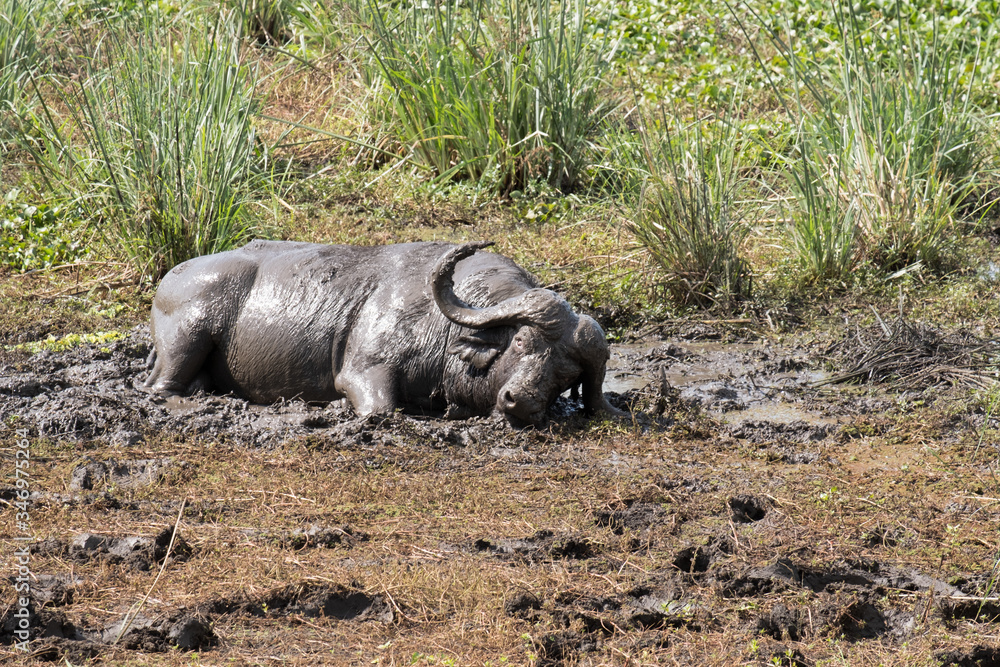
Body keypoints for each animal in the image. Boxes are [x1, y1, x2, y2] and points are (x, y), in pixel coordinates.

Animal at [144, 240, 621, 425]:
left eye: (567, 375)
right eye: (522, 340)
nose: (522, 401)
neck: (441, 330)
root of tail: (174, 275)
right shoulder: (363, 372)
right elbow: (384, 409)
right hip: (187, 339)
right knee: (163, 388)